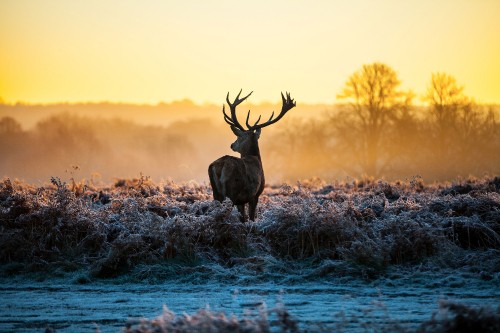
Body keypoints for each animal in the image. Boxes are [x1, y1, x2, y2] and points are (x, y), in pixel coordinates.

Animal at [208, 89, 294, 222]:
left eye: (239, 137)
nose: (232, 145)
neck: (255, 158)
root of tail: (220, 166)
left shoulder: (242, 200)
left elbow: (243, 217)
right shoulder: (255, 194)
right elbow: (251, 217)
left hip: (216, 192)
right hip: (232, 190)